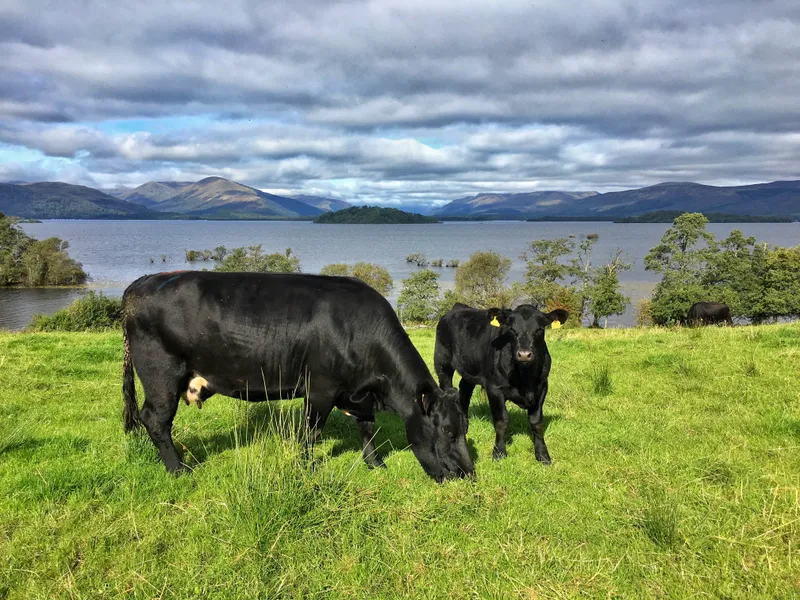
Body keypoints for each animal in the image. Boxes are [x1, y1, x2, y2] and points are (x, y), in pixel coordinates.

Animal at [121, 271, 474, 482]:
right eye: (446, 430)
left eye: (465, 428)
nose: (467, 474)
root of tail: (142, 284)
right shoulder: (320, 389)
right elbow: (310, 432)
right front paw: (306, 467)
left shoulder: (358, 393)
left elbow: (367, 429)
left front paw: (375, 465)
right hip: (161, 375)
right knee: (155, 419)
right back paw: (178, 469)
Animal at [434, 303, 568, 464]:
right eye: (511, 329)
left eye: (540, 329)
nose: (524, 354)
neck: (524, 378)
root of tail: (458, 307)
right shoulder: (494, 389)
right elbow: (501, 421)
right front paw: (499, 453)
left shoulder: (542, 387)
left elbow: (536, 423)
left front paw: (543, 455)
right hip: (443, 364)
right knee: (447, 389)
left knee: (464, 391)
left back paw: (464, 425)